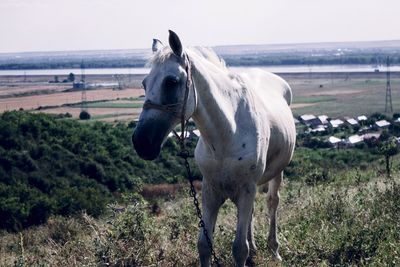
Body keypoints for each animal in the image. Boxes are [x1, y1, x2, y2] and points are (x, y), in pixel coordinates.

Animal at [133, 30, 296, 266]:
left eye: (171, 81)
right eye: (145, 84)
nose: (141, 143)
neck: (227, 133)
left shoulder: (246, 189)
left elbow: (239, 248)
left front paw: (249, 251)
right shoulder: (210, 191)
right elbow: (204, 244)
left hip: (276, 174)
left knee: (272, 202)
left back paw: (274, 249)